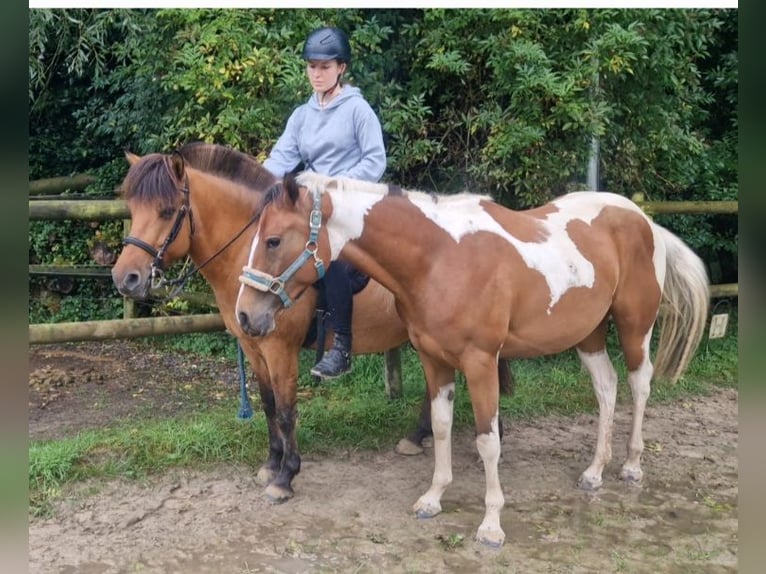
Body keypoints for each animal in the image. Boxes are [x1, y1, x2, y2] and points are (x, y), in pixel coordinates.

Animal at [110, 143, 513, 503]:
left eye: (166, 211)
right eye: (133, 208)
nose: (125, 278)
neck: (250, 255)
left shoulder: (280, 349)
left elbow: (287, 411)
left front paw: (286, 477)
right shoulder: (252, 345)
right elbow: (269, 406)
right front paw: (271, 464)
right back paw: (418, 436)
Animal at [234, 172, 710, 547]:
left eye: (273, 240)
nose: (245, 315)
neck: (440, 258)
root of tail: (643, 219)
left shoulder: (481, 363)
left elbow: (487, 440)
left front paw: (491, 525)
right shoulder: (434, 359)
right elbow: (442, 426)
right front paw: (432, 499)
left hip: (634, 328)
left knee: (639, 384)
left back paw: (630, 466)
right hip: (588, 334)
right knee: (606, 387)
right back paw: (594, 471)